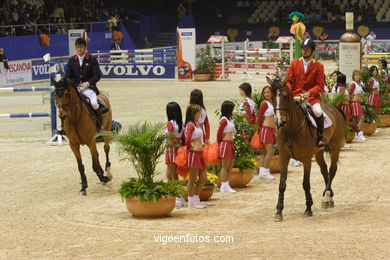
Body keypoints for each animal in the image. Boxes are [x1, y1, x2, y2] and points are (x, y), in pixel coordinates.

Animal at [268, 76, 348, 221]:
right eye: (271, 97)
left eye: (286, 96)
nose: (280, 122)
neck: (291, 130)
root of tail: (334, 108)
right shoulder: (283, 157)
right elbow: (282, 184)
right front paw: (279, 211)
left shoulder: (306, 159)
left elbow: (306, 183)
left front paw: (308, 208)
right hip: (318, 152)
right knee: (324, 170)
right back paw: (329, 198)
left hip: (335, 148)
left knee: (332, 170)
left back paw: (326, 197)